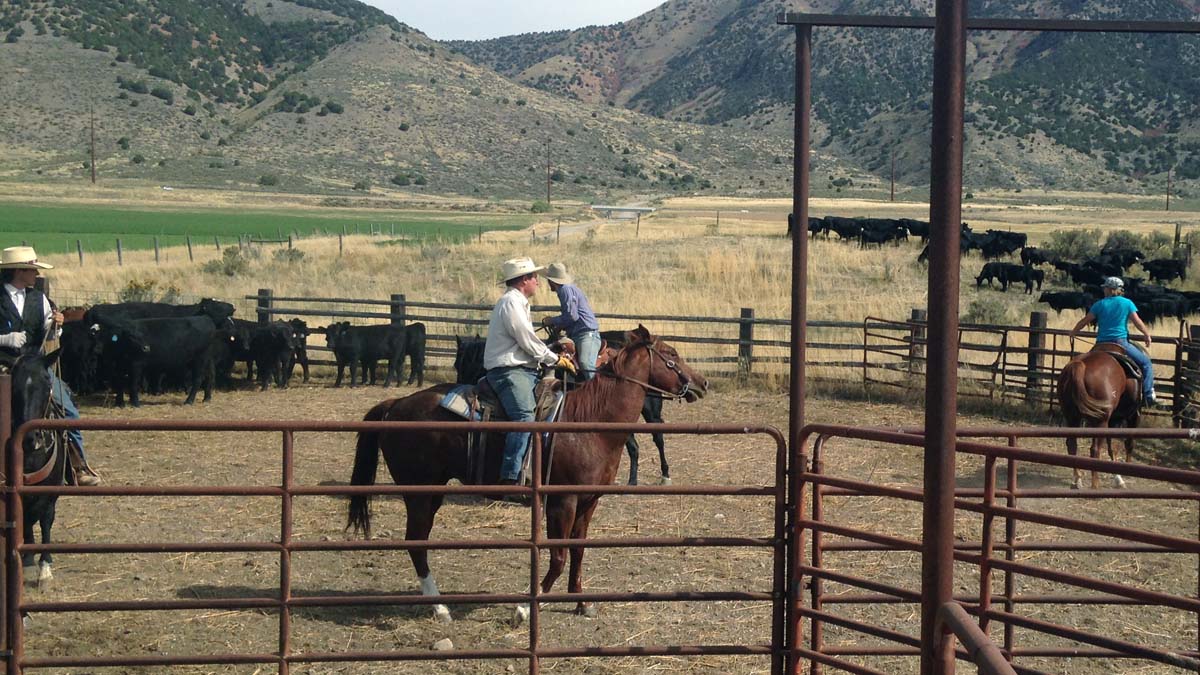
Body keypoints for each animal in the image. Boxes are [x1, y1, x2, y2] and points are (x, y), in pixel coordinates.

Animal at [345, 324, 700, 619]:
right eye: (671, 355)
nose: (702, 382)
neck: (589, 420)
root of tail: (395, 404)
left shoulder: (588, 501)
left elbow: (578, 551)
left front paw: (582, 602)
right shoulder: (562, 502)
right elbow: (558, 557)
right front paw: (526, 608)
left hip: (432, 492)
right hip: (419, 491)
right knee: (416, 542)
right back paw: (440, 607)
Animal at [1056, 343, 1137, 485]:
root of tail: (1080, 366)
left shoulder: (1113, 419)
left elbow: (1112, 446)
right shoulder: (1129, 415)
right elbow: (1125, 443)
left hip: (1072, 418)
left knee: (1072, 444)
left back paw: (1077, 479)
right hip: (1100, 422)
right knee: (1094, 450)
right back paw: (1095, 484)